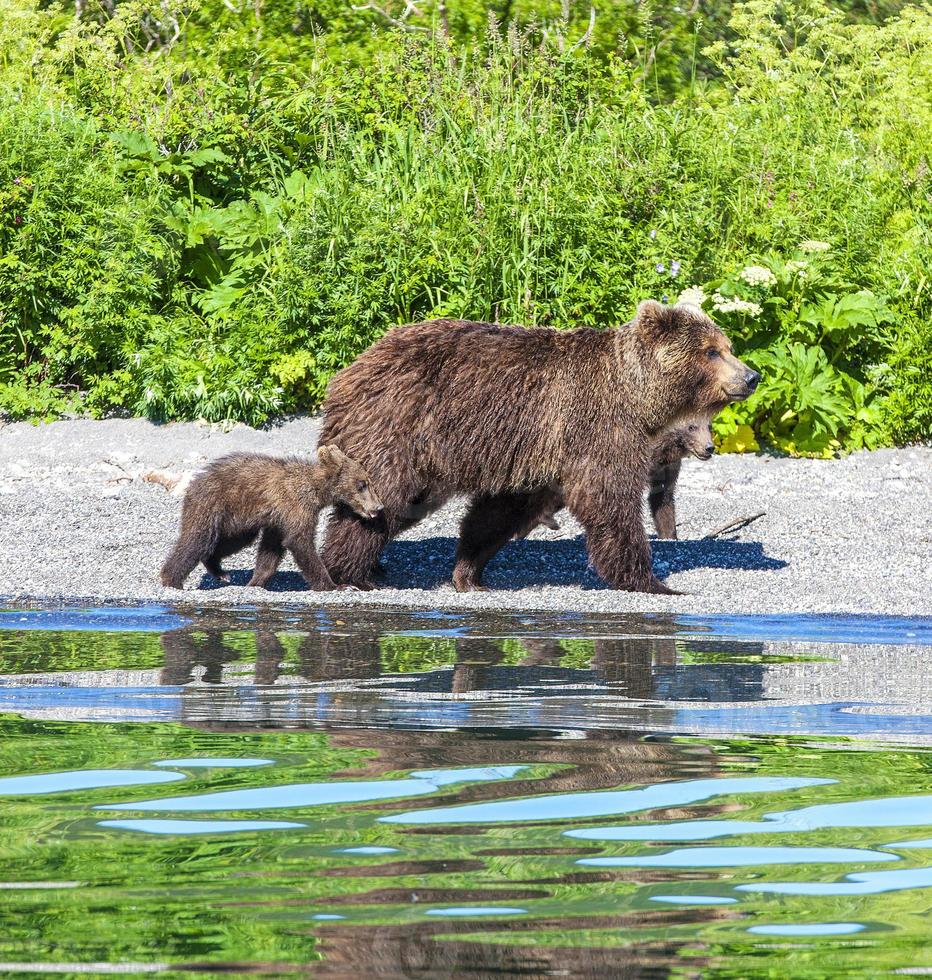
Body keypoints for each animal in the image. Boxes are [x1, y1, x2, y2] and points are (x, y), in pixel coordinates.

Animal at [320, 300, 756, 588]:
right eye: (711, 351)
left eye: (728, 347)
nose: (751, 377)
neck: (636, 395)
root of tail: (349, 372)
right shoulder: (597, 426)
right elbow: (609, 498)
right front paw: (650, 579)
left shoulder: (537, 448)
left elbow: (499, 512)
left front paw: (469, 572)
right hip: (401, 426)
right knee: (383, 493)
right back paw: (350, 571)